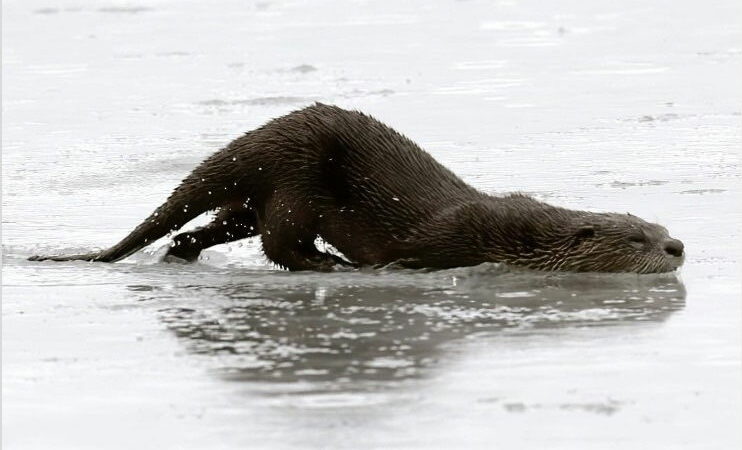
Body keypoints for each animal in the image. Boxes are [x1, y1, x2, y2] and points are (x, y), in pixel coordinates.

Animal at [30, 103, 692, 272]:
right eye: (639, 239)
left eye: (660, 226)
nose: (679, 246)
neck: (519, 234)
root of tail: (260, 140)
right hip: (298, 183)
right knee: (279, 245)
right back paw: (332, 265)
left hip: (258, 196)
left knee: (215, 226)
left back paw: (182, 254)